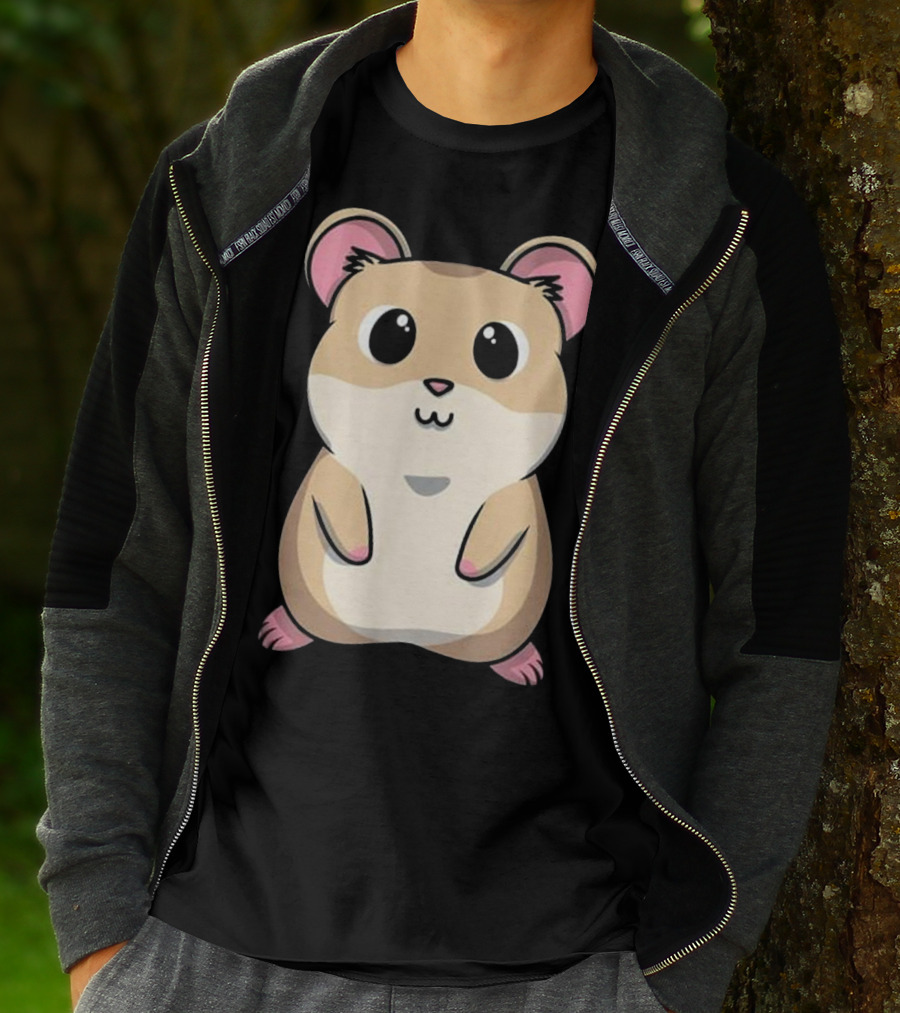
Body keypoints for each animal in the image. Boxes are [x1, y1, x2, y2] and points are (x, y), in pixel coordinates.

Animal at [260, 208, 595, 685]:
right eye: (390, 332)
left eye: (498, 347)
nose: (438, 384)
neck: (428, 476)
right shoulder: (334, 466)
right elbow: (336, 496)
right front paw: (359, 548)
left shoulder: (513, 493)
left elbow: (502, 519)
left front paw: (470, 564)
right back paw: (285, 629)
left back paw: (518, 662)